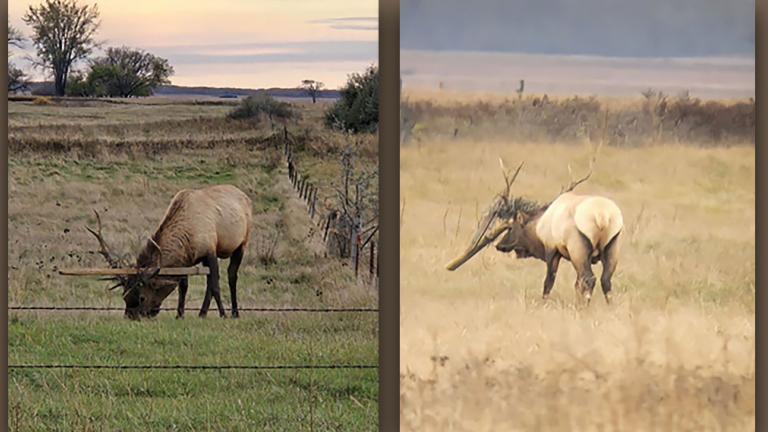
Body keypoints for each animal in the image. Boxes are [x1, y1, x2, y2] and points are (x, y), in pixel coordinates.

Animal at [87, 184, 253, 320]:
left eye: (142, 298)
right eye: (124, 296)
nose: (130, 316)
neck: (188, 234)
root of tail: (245, 197)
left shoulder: (210, 250)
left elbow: (215, 285)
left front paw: (222, 314)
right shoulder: (186, 260)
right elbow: (183, 286)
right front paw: (179, 315)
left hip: (242, 243)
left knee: (231, 275)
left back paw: (234, 313)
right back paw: (204, 313)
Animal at [446, 159, 623, 305]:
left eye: (511, 227)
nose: (499, 245)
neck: (538, 228)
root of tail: (602, 217)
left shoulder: (551, 249)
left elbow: (548, 282)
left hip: (577, 247)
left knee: (588, 278)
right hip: (613, 245)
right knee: (605, 280)